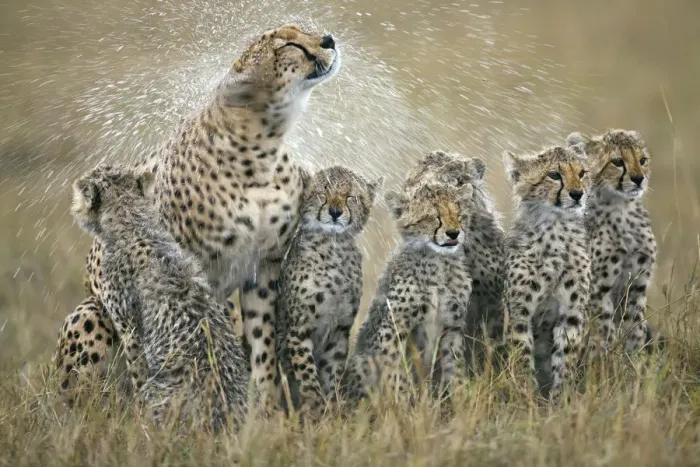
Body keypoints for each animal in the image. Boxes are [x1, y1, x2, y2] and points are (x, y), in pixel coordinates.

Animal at [275, 165, 381, 416]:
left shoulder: (341, 329)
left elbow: (332, 370)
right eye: (322, 193)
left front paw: (332, 406)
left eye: (350, 197)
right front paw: (315, 405)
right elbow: (306, 371)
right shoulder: (299, 328)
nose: (334, 212)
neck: (334, 247)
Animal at [342, 180, 475, 403]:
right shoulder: (394, 328)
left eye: (459, 214)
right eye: (433, 215)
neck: (438, 262)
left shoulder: (452, 328)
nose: (454, 233)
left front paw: (463, 403)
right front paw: (405, 405)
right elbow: (397, 374)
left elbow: (455, 371)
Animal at [502, 145, 591, 400]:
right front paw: (527, 398)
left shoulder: (571, 314)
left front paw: (561, 399)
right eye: (554, 175)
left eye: (582, 173)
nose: (577, 194)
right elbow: (522, 355)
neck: (555, 226)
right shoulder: (520, 313)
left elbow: (565, 357)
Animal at [567, 129, 658, 356]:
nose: (638, 179)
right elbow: (601, 330)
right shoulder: (599, 289)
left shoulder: (638, 285)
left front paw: (634, 361)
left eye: (642, 160)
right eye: (617, 161)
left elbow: (635, 328)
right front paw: (600, 362)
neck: (622, 209)